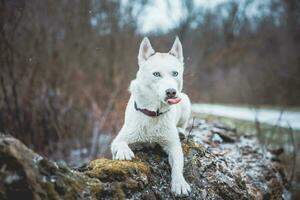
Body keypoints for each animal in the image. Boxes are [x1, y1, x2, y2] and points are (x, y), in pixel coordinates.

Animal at [111, 36, 191, 195]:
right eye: (156, 74)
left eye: (175, 73)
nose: (171, 92)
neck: (154, 113)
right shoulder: (118, 139)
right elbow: (119, 143)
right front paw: (124, 151)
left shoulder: (173, 146)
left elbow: (178, 165)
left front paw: (179, 182)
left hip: (185, 101)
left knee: (183, 125)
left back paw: (181, 131)